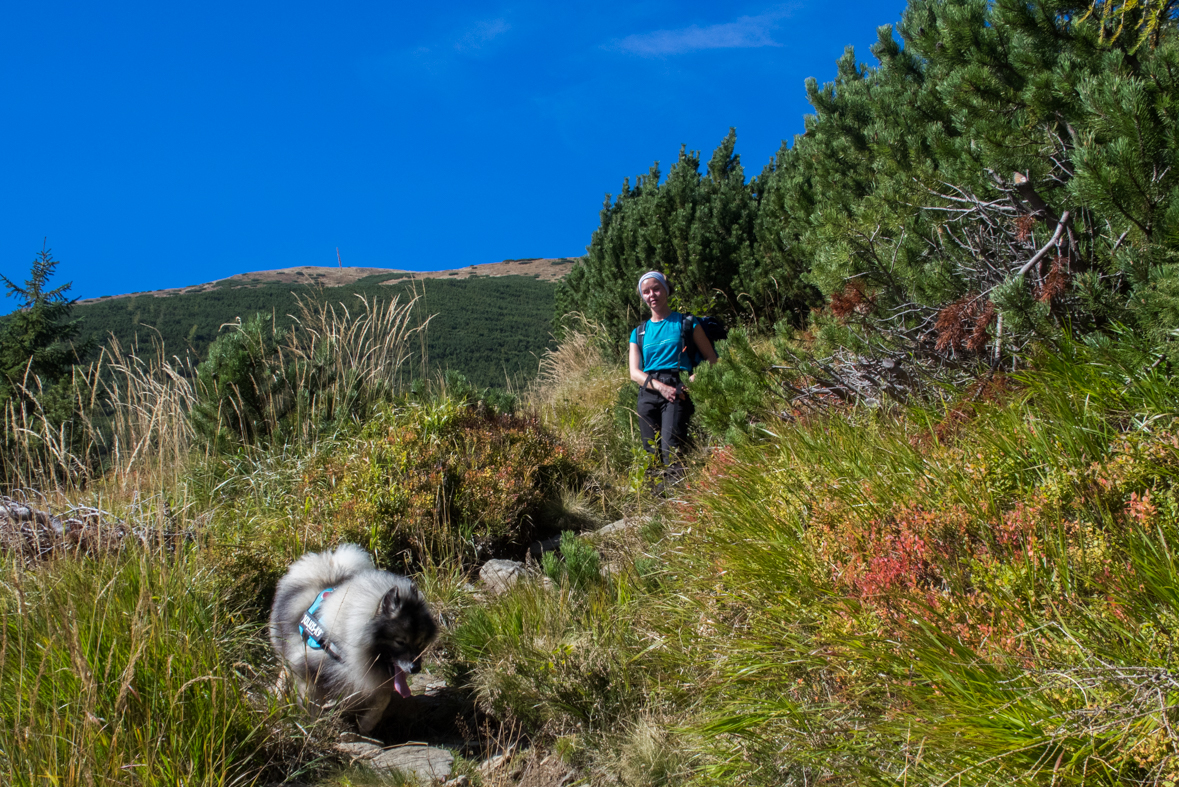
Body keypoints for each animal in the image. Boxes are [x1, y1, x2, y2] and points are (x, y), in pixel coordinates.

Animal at [269, 541, 440, 730]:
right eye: (400, 641)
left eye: (420, 642)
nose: (415, 668)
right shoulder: (307, 670)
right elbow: (310, 706)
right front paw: (311, 726)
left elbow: (382, 700)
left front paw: (366, 725)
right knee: (284, 670)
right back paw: (277, 694)